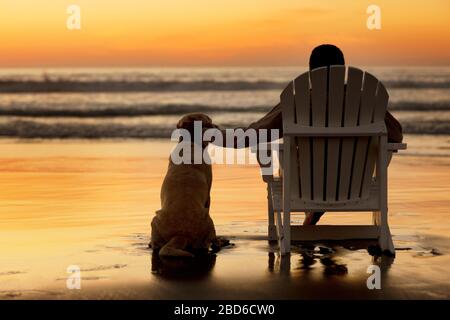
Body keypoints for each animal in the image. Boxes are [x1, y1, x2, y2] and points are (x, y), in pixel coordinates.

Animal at [151, 112, 227, 258]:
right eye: (209, 122)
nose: (218, 127)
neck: (189, 142)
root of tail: (180, 235)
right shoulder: (208, 196)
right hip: (208, 219)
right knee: (212, 241)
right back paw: (221, 241)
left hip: (155, 218)